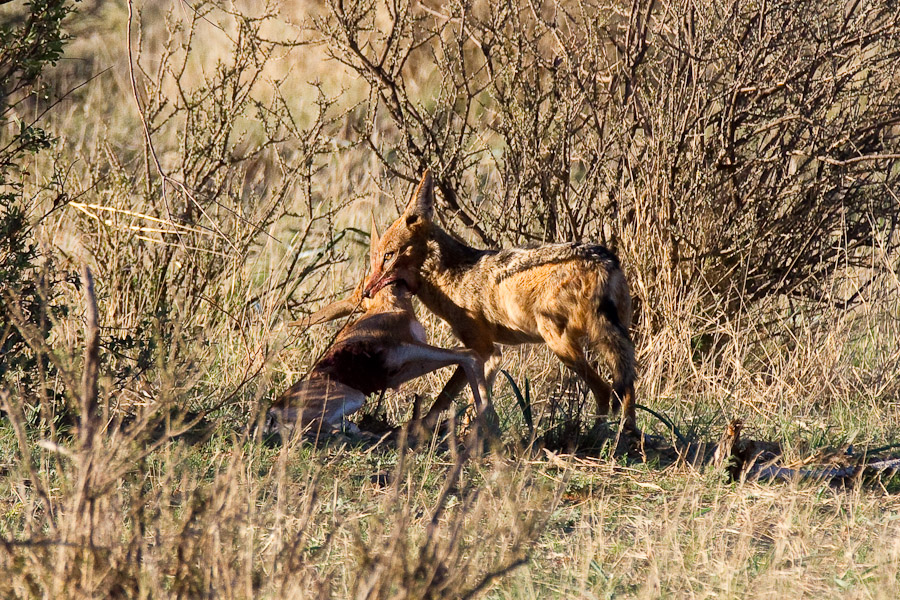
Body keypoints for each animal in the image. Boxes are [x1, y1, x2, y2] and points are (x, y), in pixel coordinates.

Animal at [362, 171, 636, 434]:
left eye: (388, 256)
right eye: (375, 259)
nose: (365, 292)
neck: (451, 276)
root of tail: (604, 259)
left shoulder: (480, 348)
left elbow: (446, 396)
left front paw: (423, 429)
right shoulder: (493, 353)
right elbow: (477, 399)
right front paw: (472, 433)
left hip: (561, 344)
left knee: (604, 391)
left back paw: (596, 438)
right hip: (611, 342)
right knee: (625, 391)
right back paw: (627, 437)